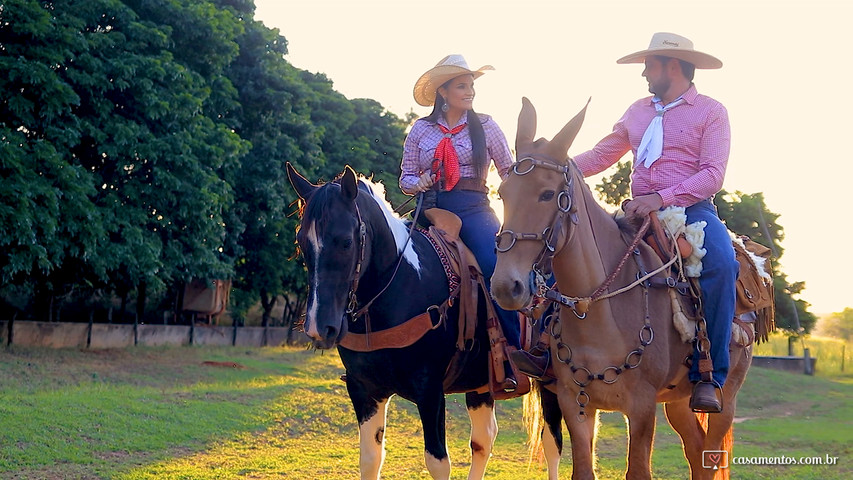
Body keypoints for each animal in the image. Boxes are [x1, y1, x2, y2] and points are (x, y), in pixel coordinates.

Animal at [288, 164, 520, 480]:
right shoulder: (364, 390)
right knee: (484, 439)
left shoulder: (430, 391)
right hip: (483, 384)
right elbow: (370, 459)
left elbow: (437, 461)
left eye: (346, 242)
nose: (318, 328)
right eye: (302, 243)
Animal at [490, 98, 748, 480]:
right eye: (502, 194)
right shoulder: (575, 402)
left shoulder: (641, 408)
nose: (507, 286)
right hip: (678, 402)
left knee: (711, 454)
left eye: (548, 194)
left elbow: (638, 470)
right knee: (696, 452)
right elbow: (583, 469)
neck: (599, 313)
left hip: (725, 399)